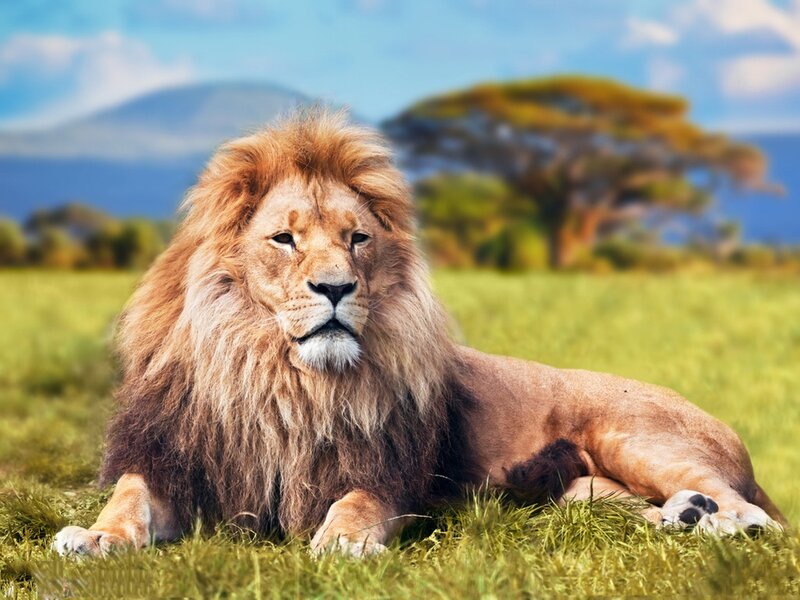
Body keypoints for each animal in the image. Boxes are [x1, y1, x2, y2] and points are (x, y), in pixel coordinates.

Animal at [54, 110, 786, 558]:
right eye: (284, 239)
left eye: (357, 239)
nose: (336, 288)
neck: (279, 378)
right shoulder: (173, 459)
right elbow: (128, 500)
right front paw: (92, 538)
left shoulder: (387, 474)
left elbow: (355, 504)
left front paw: (342, 542)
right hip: (580, 492)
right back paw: (684, 517)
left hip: (633, 435)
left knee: (757, 515)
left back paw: (720, 523)